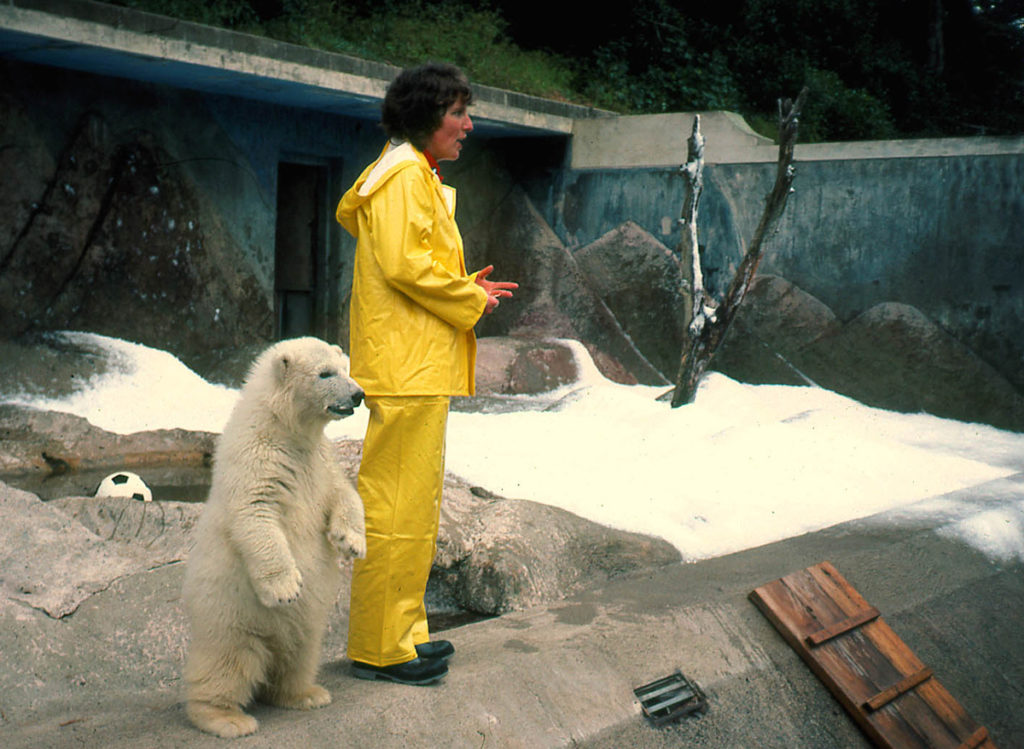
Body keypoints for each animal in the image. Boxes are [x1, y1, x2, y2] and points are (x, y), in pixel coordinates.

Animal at [184, 338, 368, 737]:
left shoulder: (320, 460)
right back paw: (227, 718)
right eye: (325, 373)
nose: (358, 394)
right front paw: (285, 588)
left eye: (345, 368)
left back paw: (307, 694)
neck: (284, 429)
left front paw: (352, 542)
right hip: (230, 612)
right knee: (227, 663)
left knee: (300, 652)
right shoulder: (256, 459)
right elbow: (256, 514)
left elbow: (343, 494)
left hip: (306, 624)